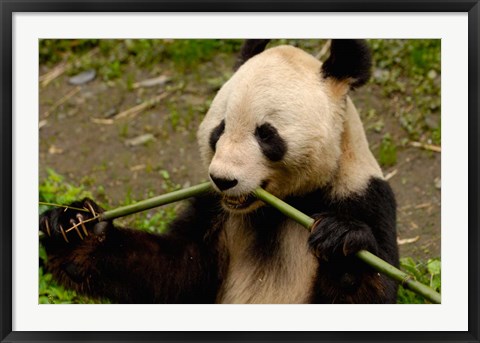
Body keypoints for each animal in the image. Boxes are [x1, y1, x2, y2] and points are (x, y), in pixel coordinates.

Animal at [39, 39, 400, 306]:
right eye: (219, 129)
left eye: (266, 135)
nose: (223, 180)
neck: (278, 208)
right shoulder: (212, 207)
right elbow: (175, 272)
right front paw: (75, 227)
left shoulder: (361, 194)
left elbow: (369, 290)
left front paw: (341, 243)